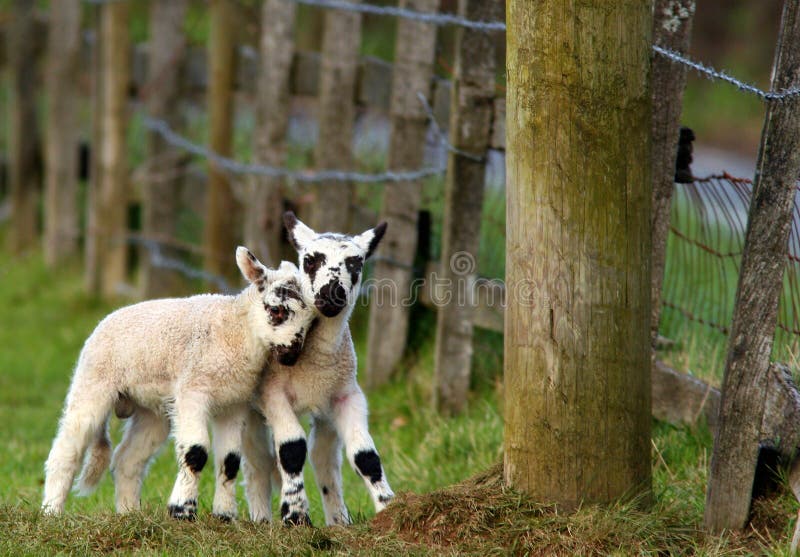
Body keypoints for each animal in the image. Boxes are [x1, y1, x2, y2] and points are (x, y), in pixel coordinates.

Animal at [42, 245, 314, 520]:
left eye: (311, 322)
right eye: (277, 310)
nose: (292, 355)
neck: (236, 331)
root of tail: (104, 322)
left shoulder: (233, 402)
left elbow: (229, 460)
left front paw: (224, 516)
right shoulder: (192, 392)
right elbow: (196, 451)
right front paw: (183, 512)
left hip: (152, 410)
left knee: (127, 460)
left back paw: (130, 514)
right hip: (93, 381)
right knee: (67, 448)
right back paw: (51, 511)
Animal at [241, 211, 396, 524]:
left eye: (356, 263)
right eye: (310, 261)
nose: (332, 293)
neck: (316, 364)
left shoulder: (347, 395)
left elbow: (365, 455)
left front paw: (389, 507)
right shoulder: (272, 394)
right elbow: (291, 449)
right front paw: (295, 515)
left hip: (326, 410)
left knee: (323, 457)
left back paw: (339, 521)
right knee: (257, 461)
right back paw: (262, 519)